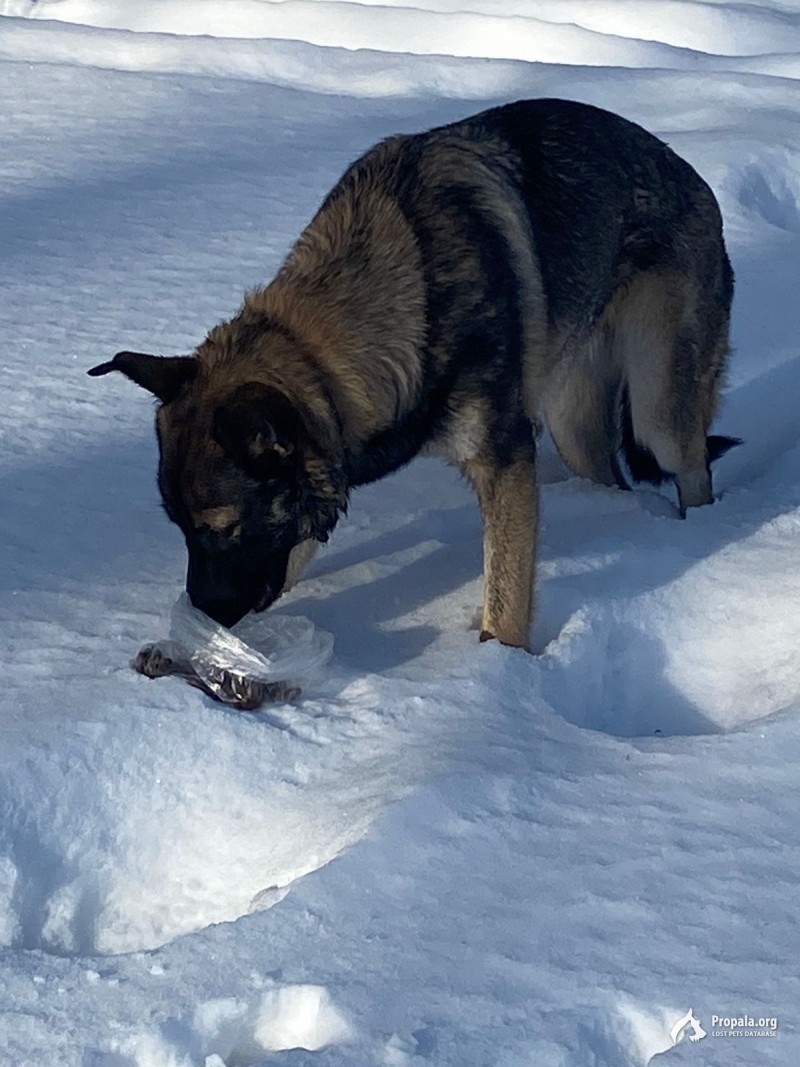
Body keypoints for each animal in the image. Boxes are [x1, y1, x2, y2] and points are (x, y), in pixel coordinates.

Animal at [89, 100, 738, 648]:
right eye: (178, 528)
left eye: (221, 529)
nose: (203, 616)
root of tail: (695, 179)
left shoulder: (505, 462)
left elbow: (505, 596)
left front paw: (497, 675)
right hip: (574, 426)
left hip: (657, 408)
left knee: (690, 468)